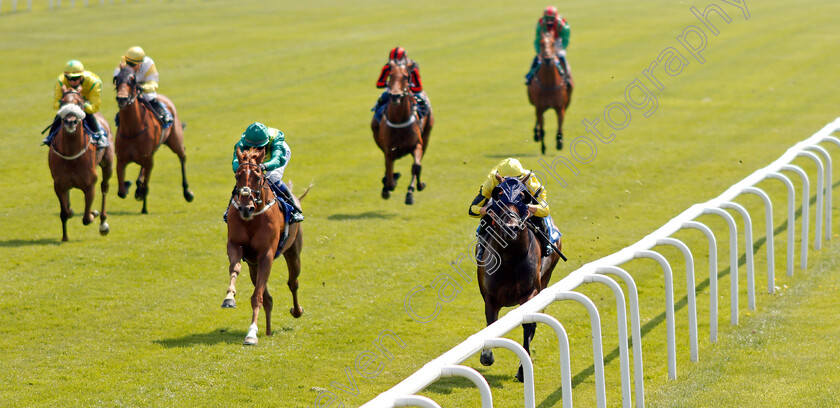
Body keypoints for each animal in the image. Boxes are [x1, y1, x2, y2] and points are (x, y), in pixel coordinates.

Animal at [48, 88, 115, 242]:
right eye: (63, 102)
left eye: (79, 103)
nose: (70, 121)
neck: (72, 153)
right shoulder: (59, 185)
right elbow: (65, 212)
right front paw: (65, 236)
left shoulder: (90, 185)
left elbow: (86, 218)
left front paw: (93, 213)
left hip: (108, 164)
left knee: (104, 187)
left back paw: (103, 222)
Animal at [113, 66, 194, 214]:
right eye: (117, 79)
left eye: (133, 80)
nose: (122, 98)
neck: (132, 130)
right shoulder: (121, 159)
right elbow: (121, 191)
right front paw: (130, 185)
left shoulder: (149, 160)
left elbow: (145, 184)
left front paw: (144, 207)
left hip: (175, 141)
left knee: (182, 156)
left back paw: (187, 192)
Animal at [223, 147, 308, 344]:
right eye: (237, 176)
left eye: (257, 176)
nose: (245, 208)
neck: (252, 219)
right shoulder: (235, 245)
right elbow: (235, 268)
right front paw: (229, 298)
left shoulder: (266, 254)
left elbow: (257, 297)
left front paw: (251, 334)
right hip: (253, 266)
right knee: (268, 298)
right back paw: (268, 331)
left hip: (293, 253)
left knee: (293, 282)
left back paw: (296, 311)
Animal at [370, 60, 434, 204]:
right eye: (390, 75)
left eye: (405, 76)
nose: (395, 96)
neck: (399, 121)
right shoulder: (388, 151)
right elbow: (389, 180)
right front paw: (389, 183)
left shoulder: (417, 145)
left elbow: (416, 167)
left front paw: (414, 190)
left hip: (427, 135)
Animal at [476, 174, 560, 380]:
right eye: (498, 196)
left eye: (523, 197)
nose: (511, 228)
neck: (510, 260)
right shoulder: (490, 297)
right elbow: (491, 323)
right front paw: (486, 355)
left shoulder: (530, 293)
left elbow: (528, 326)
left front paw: (523, 369)